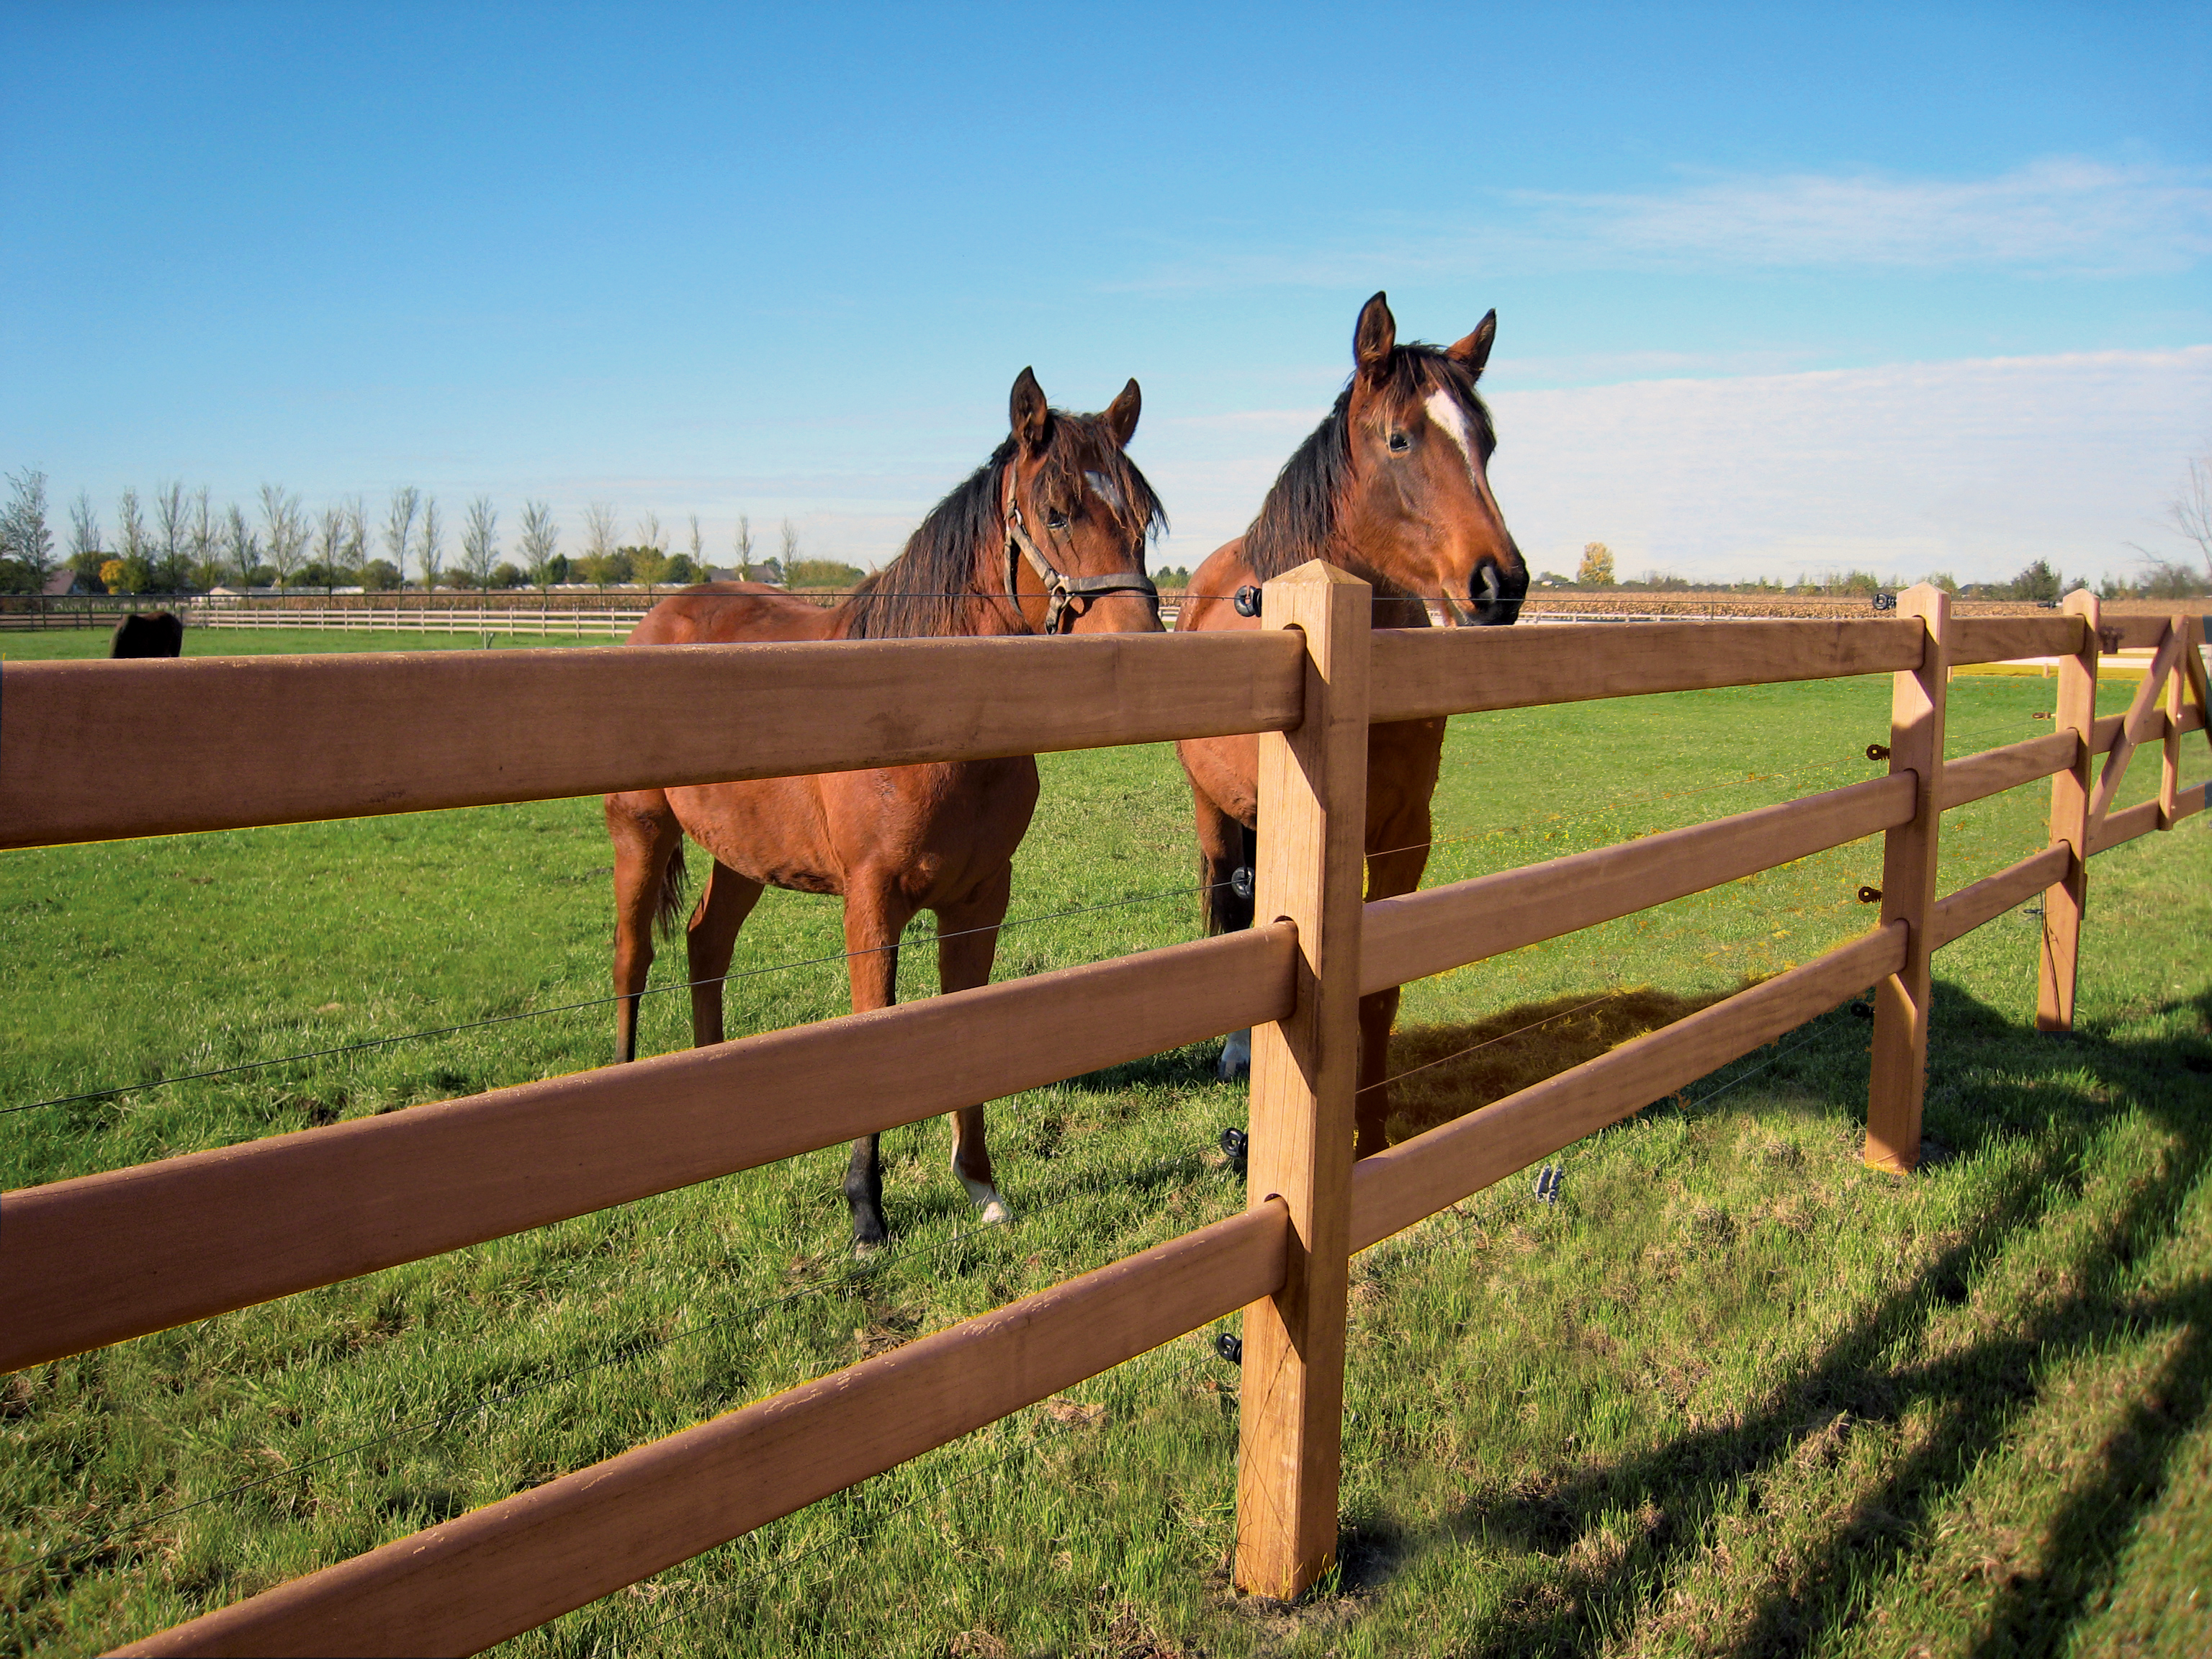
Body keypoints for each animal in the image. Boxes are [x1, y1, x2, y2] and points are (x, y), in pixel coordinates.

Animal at [597, 362, 1168, 1247]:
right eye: (1057, 510)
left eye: (1143, 518)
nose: (1147, 650)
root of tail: (661, 615)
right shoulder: (872, 902)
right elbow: (877, 1036)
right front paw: (867, 1210)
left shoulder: (978, 902)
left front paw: (982, 1186)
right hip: (642, 832)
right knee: (633, 956)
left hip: (742, 856)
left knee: (705, 944)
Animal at [1177, 296, 1521, 1159]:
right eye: (1399, 437)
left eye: (1487, 442)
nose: (1500, 583)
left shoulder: (1402, 839)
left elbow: (1381, 988)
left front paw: (1374, 1131)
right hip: (1215, 811)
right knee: (1232, 904)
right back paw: (1238, 1051)